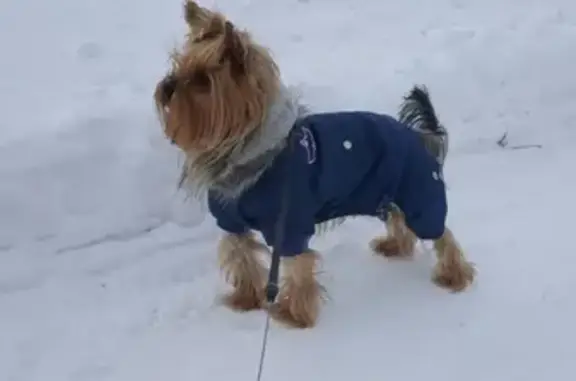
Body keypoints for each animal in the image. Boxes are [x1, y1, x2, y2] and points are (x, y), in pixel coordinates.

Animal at [155, 0, 474, 326]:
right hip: (386, 194)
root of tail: (420, 136)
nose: (167, 86)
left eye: (202, 80)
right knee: (399, 220)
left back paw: (454, 274)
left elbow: (298, 265)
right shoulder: (232, 222)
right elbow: (241, 255)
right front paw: (245, 299)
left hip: (418, 190)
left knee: (440, 232)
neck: (249, 152)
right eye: (177, 66)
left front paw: (293, 314)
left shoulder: (290, 222)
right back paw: (395, 246)